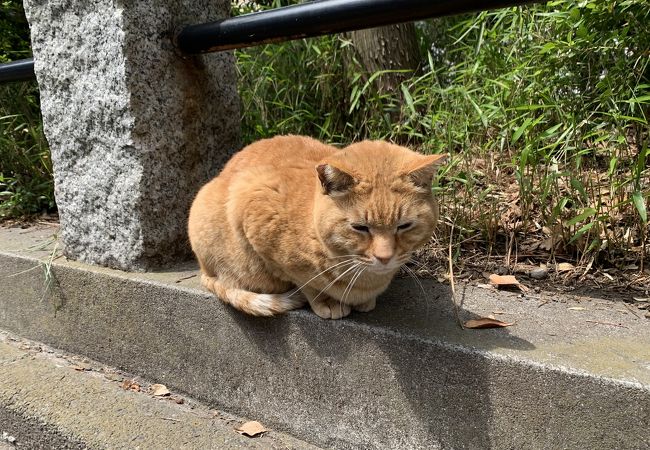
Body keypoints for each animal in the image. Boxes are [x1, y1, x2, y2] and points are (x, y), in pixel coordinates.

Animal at [185, 135, 442, 318]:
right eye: (360, 228)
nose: (385, 257)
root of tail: (202, 268)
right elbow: (305, 283)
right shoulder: (253, 205)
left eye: (404, 226)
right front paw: (326, 301)